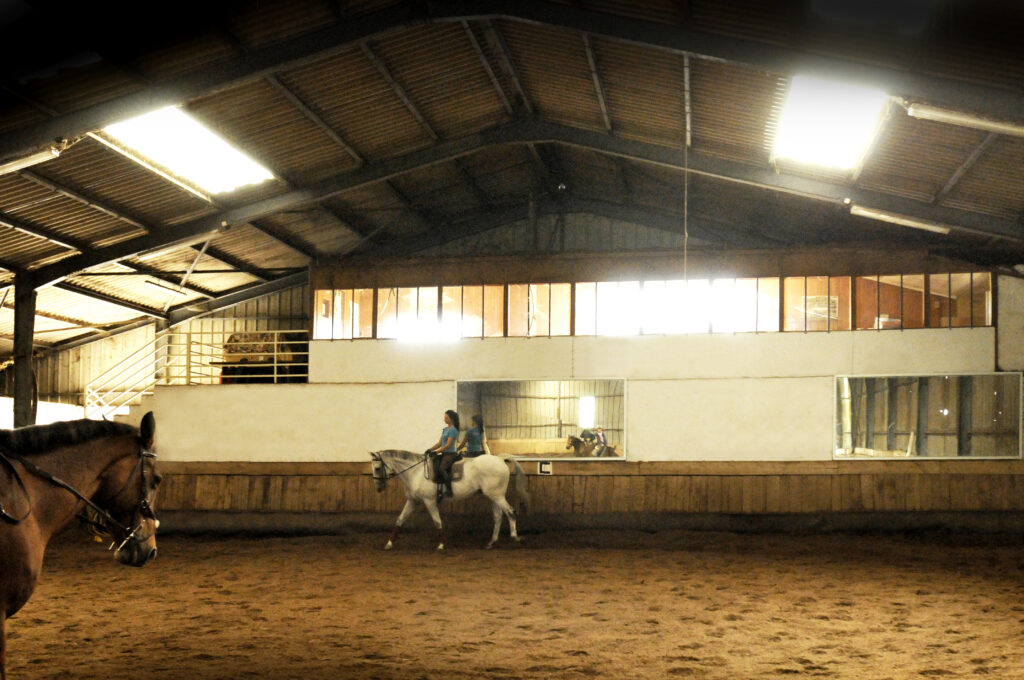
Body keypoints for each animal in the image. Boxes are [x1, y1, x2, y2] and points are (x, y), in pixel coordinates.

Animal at [370, 450, 529, 551]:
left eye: (377, 468)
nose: (378, 488)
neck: (416, 472)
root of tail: (499, 459)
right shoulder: (412, 501)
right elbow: (400, 520)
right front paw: (389, 544)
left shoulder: (429, 501)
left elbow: (437, 521)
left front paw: (441, 545)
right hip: (493, 496)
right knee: (498, 516)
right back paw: (491, 543)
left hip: (497, 496)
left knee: (510, 512)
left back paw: (516, 538)